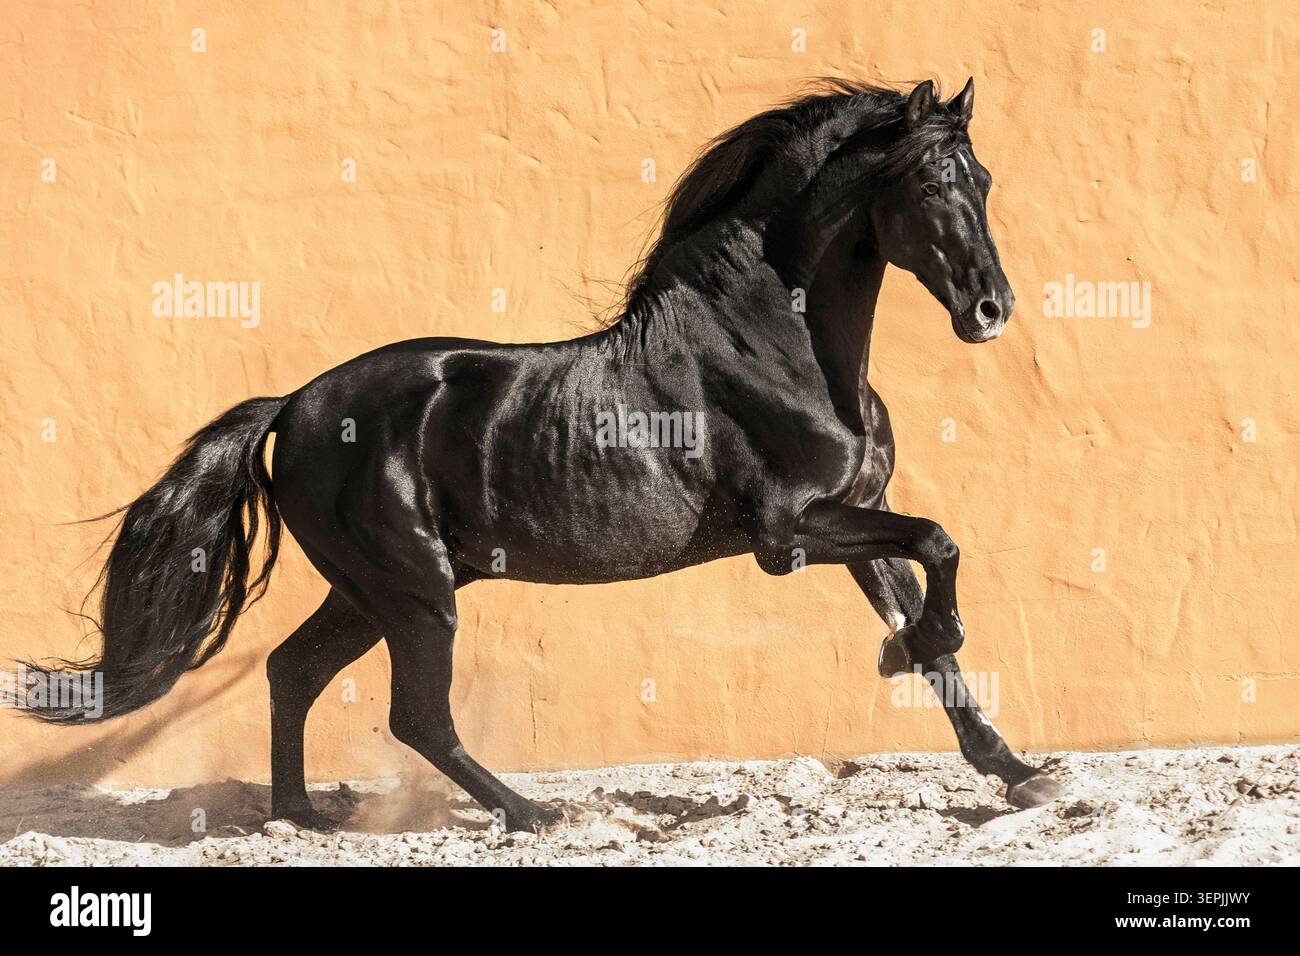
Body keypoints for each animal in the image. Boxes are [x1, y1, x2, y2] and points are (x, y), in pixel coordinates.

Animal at [25, 77, 1063, 832]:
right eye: (927, 185)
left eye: (984, 181)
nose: (990, 310)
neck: (780, 345)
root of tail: (293, 407)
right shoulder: (791, 532)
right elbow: (940, 545)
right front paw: (915, 650)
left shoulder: (851, 515)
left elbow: (931, 610)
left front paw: (1016, 769)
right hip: (415, 592)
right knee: (415, 715)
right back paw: (531, 812)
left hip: (368, 591)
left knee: (292, 672)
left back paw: (303, 817)